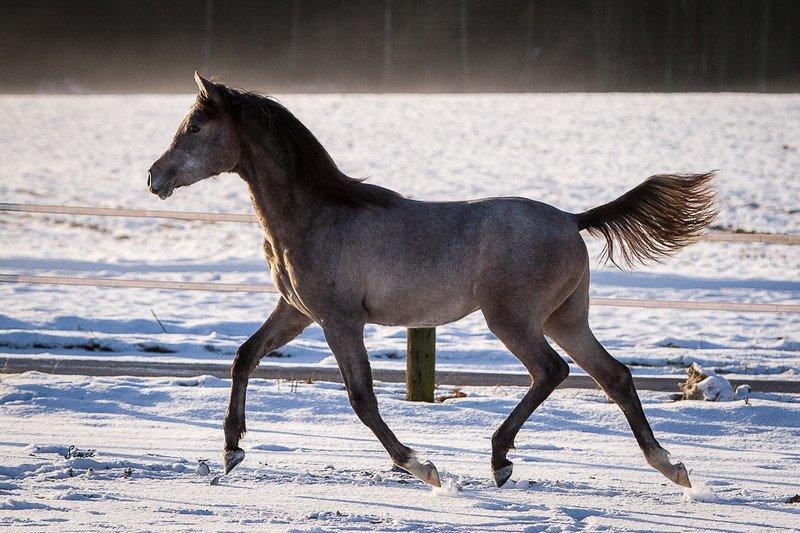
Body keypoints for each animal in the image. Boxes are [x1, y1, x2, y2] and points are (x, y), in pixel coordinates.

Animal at [147, 72, 716, 488]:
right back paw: (672, 468)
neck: (314, 216)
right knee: (613, 375)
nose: (154, 177)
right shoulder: (296, 312)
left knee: (552, 371)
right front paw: (231, 449)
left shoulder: (338, 320)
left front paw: (422, 467)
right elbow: (244, 356)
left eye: (195, 128)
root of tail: (572, 220)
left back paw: (500, 460)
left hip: (513, 320)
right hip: (565, 319)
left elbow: (362, 398)